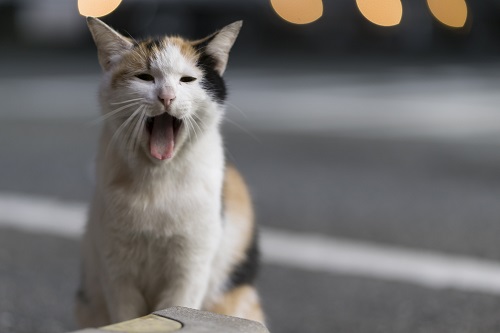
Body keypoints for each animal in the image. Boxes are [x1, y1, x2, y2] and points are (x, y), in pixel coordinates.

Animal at [75, 16, 264, 326]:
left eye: (187, 79)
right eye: (145, 77)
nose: (166, 96)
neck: (158, 180)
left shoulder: (189, 270)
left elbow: (178, 304)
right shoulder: (117, 271)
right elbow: (125, 315)